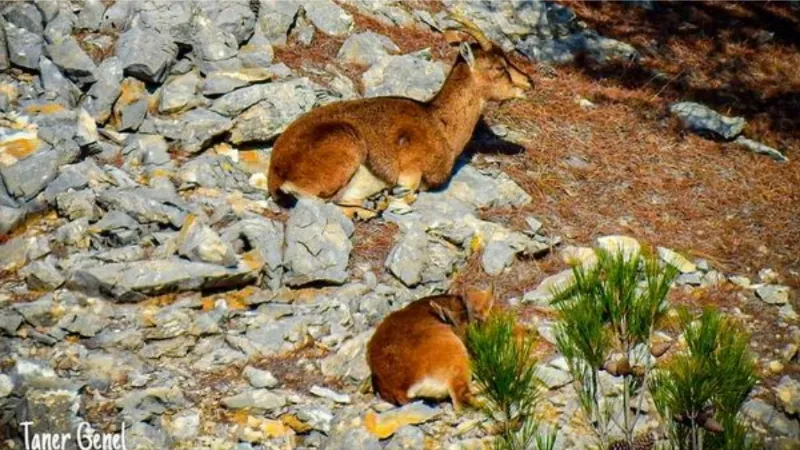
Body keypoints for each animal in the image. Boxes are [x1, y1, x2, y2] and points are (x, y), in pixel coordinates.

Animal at [266, 14, 536, 218]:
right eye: (499, 67)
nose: (529, 82)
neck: (439, 123)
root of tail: (277, 173)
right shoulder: (410, 171)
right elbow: (411, 192)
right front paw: (393, 202)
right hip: (345, 145)